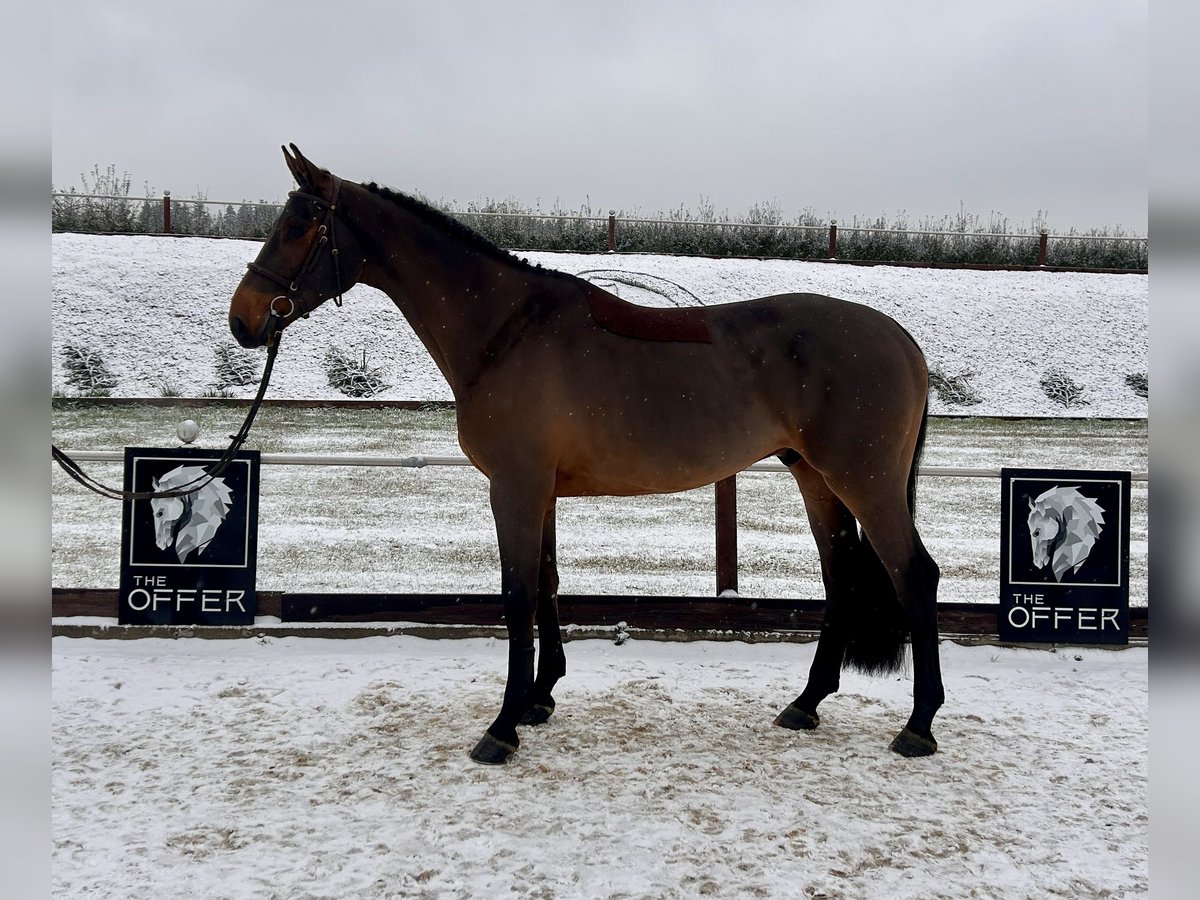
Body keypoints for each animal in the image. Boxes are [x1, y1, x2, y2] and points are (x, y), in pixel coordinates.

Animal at [226, 146, 945, 763]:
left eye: (298, 226)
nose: (245, 319)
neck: (505, 330)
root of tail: (902, 339)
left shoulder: (514, 485)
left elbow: (517, 594)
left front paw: (502, 727)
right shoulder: (541, 488)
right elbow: (547, 584)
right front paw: (539, 698)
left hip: (865, 480)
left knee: (914, 574)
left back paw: (919, 724)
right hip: (816, 478)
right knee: (841, 577)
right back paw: (806, 703)